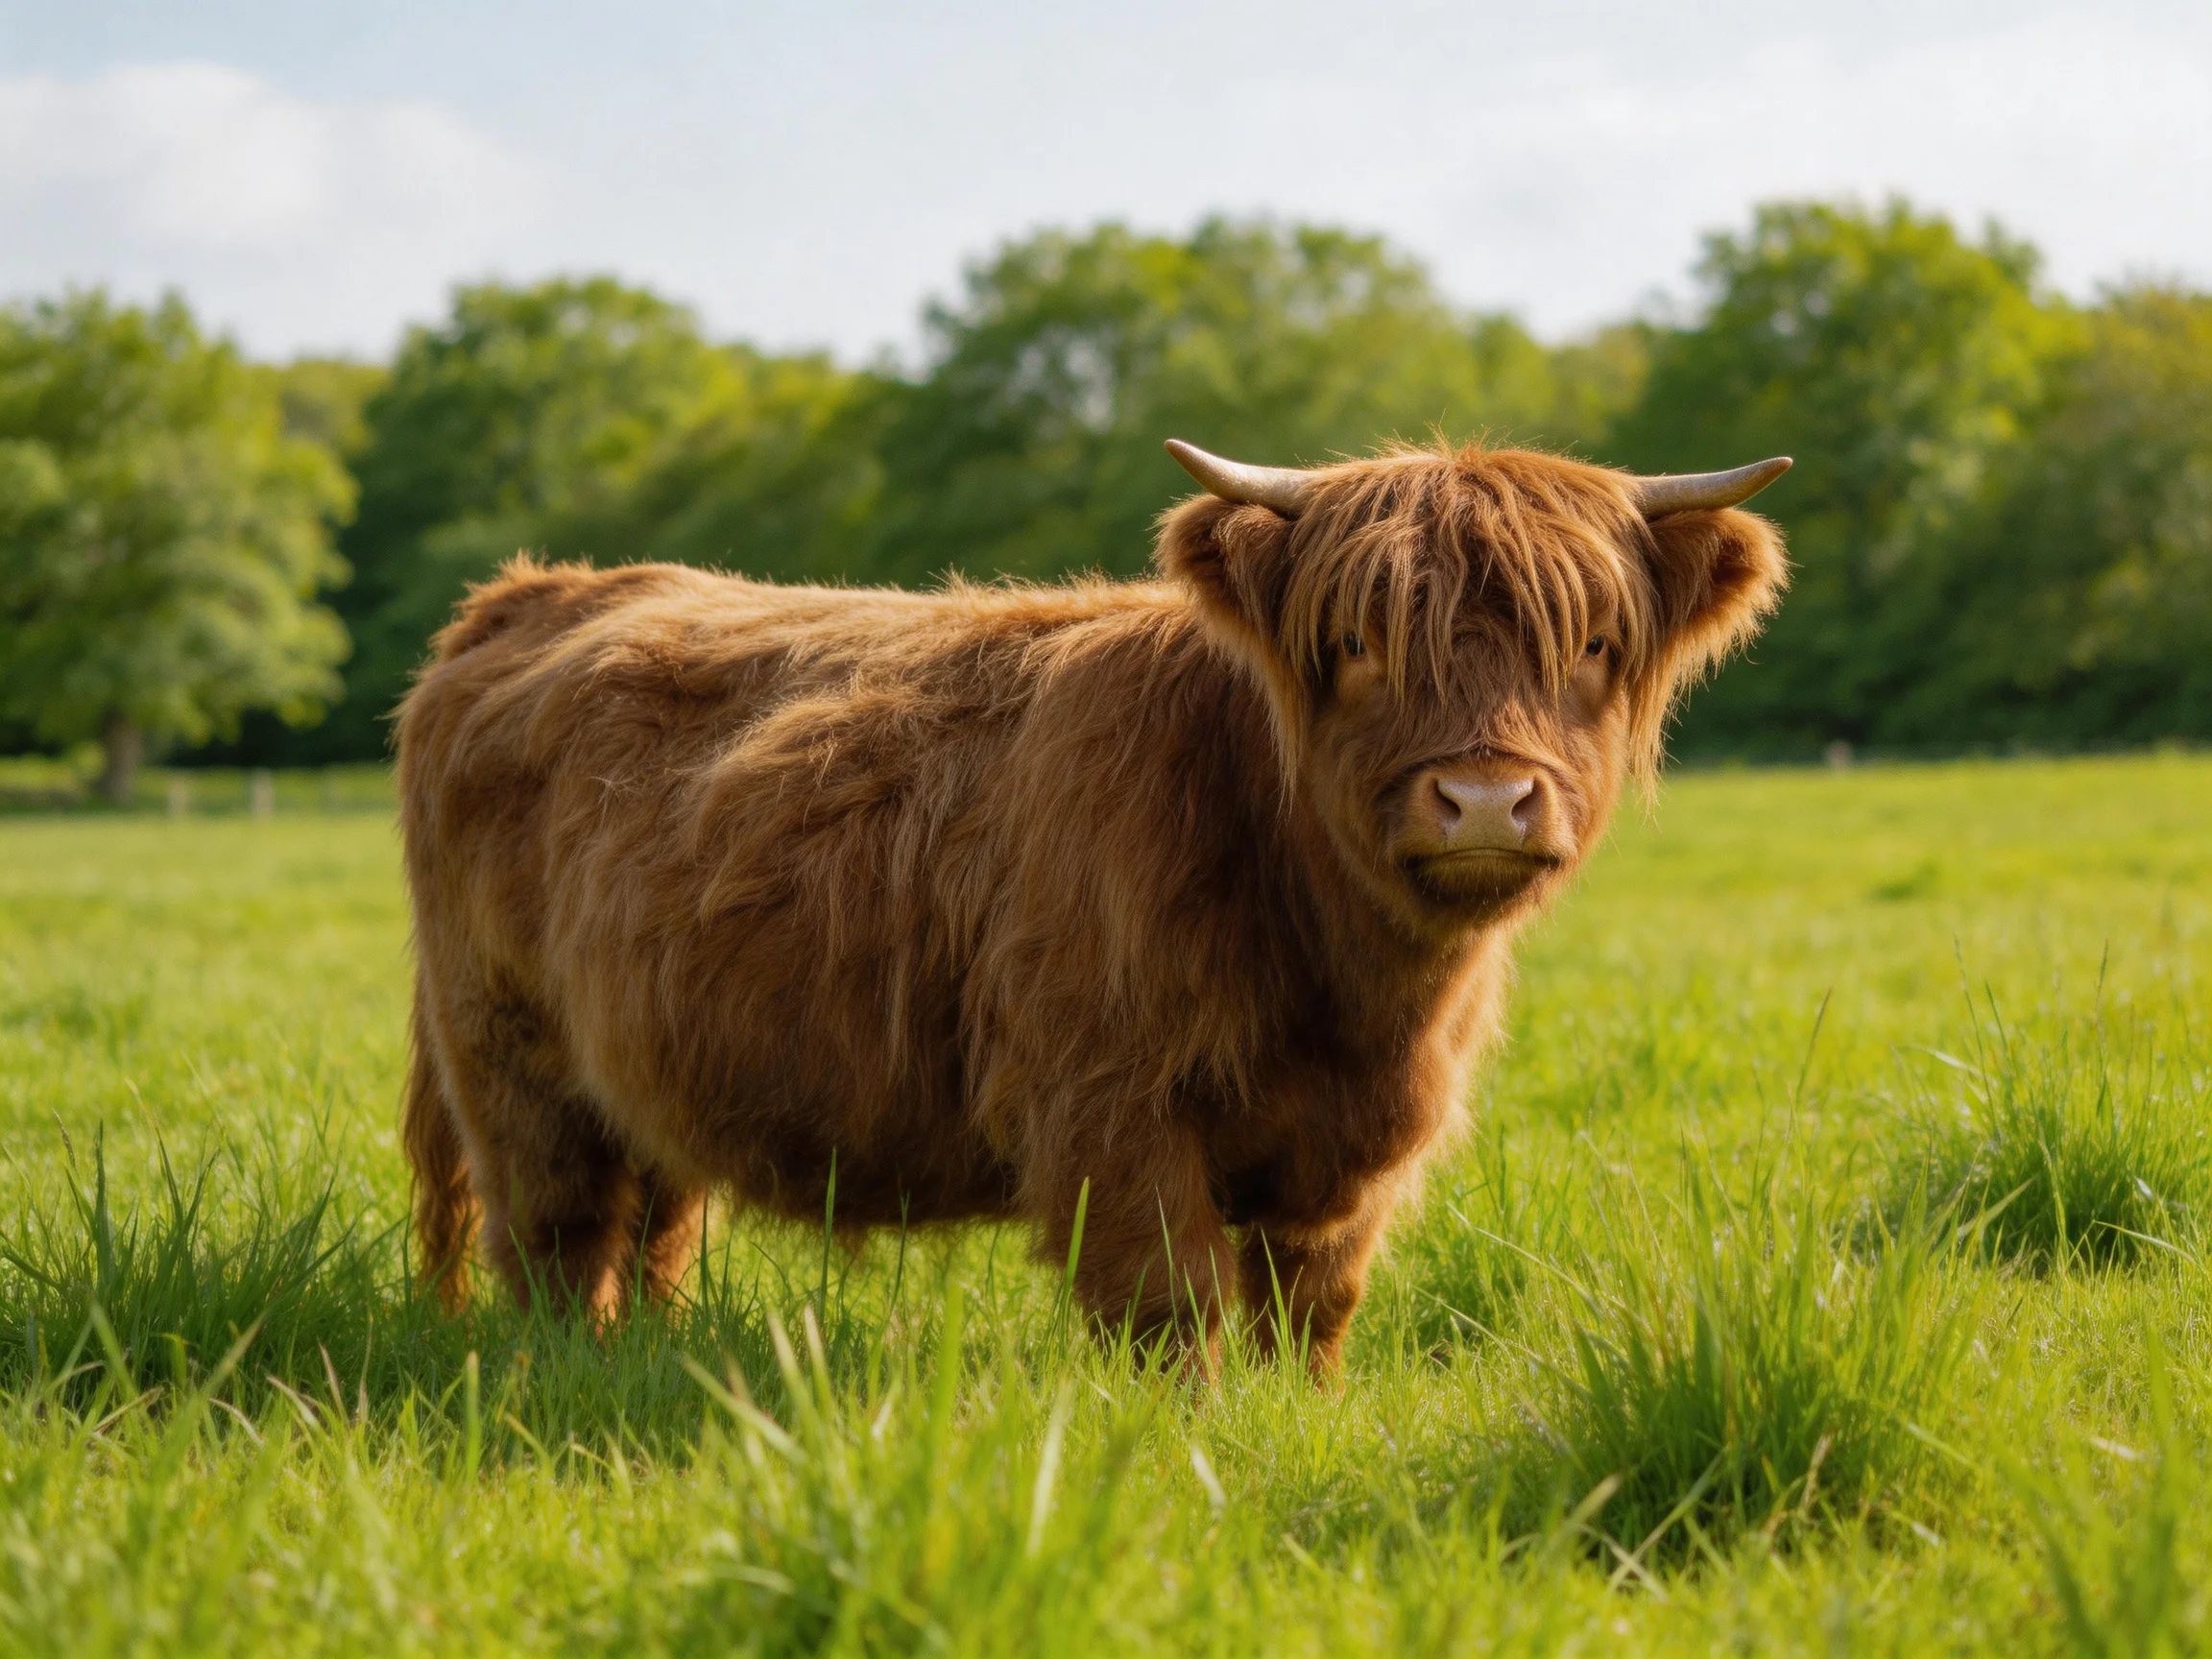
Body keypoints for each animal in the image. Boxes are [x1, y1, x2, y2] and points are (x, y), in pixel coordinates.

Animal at [396, 438, 1789, 1371]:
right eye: (1358, 646)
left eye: (1592, 648)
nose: (1487, 799)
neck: (1354, 992)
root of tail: (532, 592)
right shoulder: (1105, 1102)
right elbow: (1171, 1303)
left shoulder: (1357, 1151)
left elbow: (1310, 1308)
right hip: (508, 1049)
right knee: (557, 1231)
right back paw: (578, 1373)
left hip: (653, 1058)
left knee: (658, 1221)